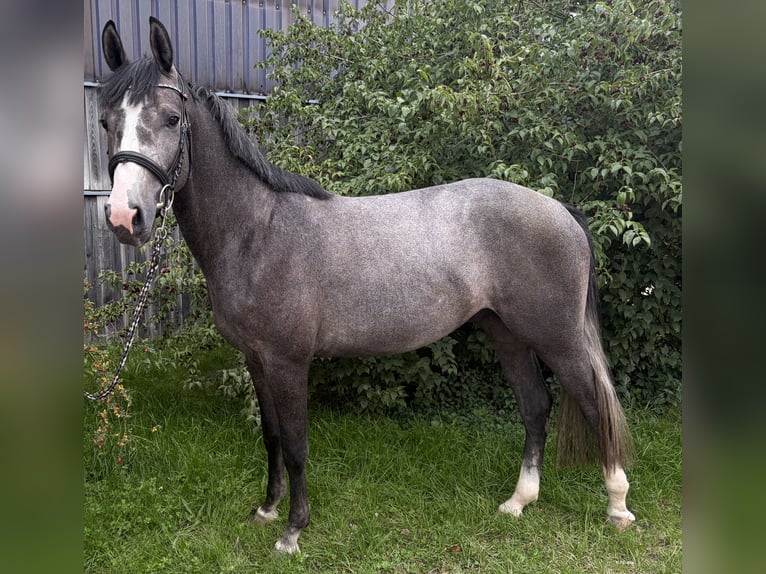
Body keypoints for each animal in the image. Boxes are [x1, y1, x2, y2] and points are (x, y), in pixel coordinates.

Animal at [98, 17, 635, 554]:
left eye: (171, 118)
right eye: (106, 122)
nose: (126, 217)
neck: (258, 230)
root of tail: (559, 209)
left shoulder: (288, 362)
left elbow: (296, 445)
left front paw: (293, 530)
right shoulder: (255, 360)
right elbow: (271, 438)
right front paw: (267, 511)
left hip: (558, 339)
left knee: (595, 404)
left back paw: (617, 505)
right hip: (505, 331)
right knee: (535, 405)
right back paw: (519, 501)